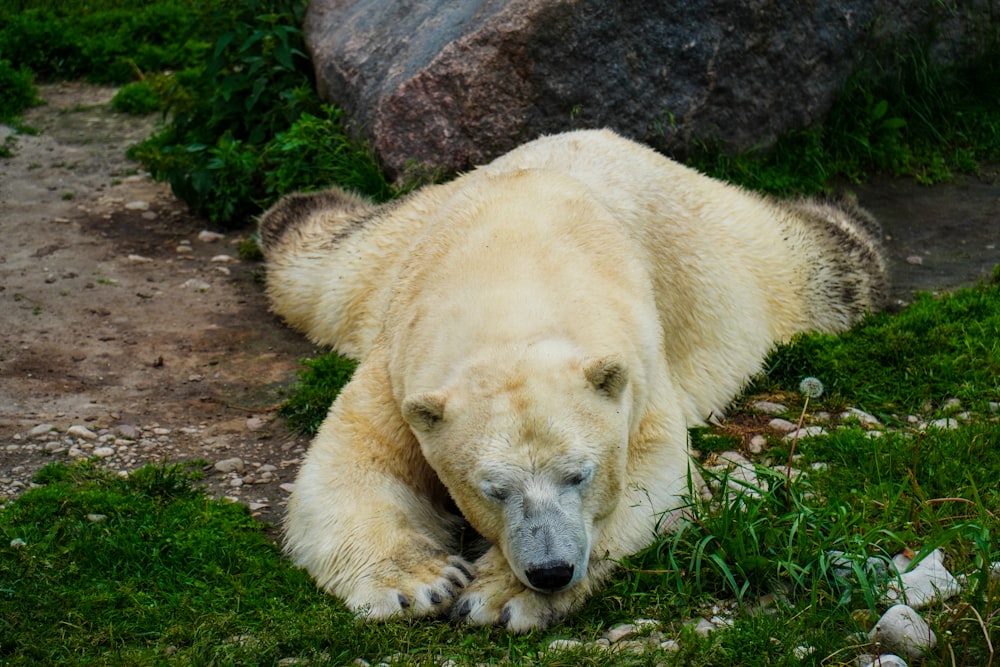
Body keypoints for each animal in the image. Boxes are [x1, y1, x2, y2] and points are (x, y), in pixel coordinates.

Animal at [262, 126, 888, 632]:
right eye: (493, 490)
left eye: (579, 475)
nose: (551, 571)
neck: (509, 267)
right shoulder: (399, 358)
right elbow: (351, 463)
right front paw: (421, 582)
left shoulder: (639, 365)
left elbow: (654, 481)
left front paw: (500, 597)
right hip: (389, 248)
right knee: (319, 264)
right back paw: (299, 208)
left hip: (732, 252)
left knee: (822, 266)